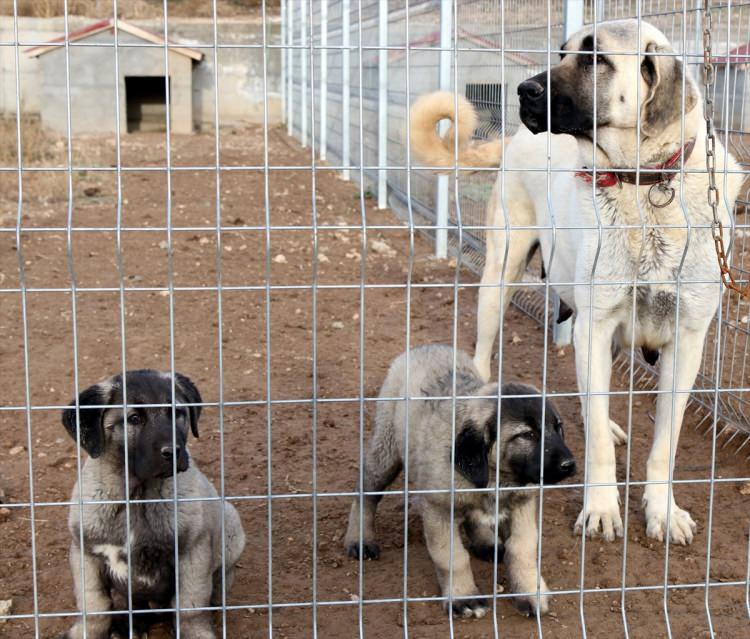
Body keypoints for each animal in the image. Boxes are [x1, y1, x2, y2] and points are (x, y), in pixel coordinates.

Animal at [59, 370, 247, 639]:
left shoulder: (192, 553)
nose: (173, 451)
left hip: (230, 528)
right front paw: (87, 631)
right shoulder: (85, 553)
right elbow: (94, 605)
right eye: (134, 418)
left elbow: (190, 606)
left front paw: (196, 631)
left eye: (177, 413)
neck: (138, 496)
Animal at [344, 344, 580, 620]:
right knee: (366, 492)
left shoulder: (523, 504)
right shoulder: (438, 509)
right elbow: (452, 557)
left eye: (558, 428)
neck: (498, 478)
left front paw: (529, 591)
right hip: (386, 450)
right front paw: (463, 596)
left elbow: (522, 549)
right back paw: (360, 539)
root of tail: (426, 346)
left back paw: (486, 542)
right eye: (527, 435)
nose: (570, 464)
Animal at [414, 22, 744, 548]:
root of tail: (514, 140)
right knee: (485, 352)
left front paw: (662, 510)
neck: (644, 186)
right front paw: (602, 508)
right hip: (501, 276)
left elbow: (665, 444)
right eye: (564, 52)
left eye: (595, 59)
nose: (522, 90)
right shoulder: (596, 323)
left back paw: (603, 422)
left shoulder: (687, 340)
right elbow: (601, 452)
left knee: (597, 399)